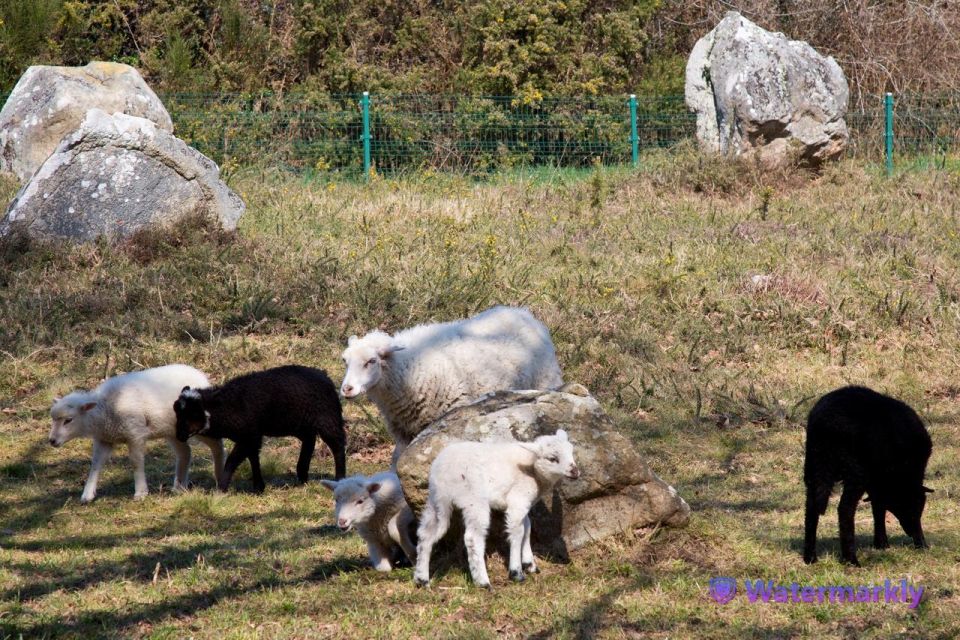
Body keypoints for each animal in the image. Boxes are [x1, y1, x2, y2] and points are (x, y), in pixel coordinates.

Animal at [49, 362, 228, 502]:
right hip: (173, 430)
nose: (51, 441)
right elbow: (95, 464)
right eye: (53, 419)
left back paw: (220, 477)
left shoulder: (135, 434)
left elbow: (136, 461)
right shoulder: (104, 439)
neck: (106, 410)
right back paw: (179, 487)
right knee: (185, 452)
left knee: (217, 446)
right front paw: (87, 494)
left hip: (197, 426)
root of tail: (200, 375)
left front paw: (141, 492)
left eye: (68, 420)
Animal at [174, 364, 346, 490]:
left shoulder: (249, 435)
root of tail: (325, 376)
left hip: (327, 418)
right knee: (309, 440)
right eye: (177, 412)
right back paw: (302, 475)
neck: (227, 406)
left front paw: (221, 488)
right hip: (299, 423)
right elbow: (253, 458)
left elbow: (232, 461)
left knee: (337, 445)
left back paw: (340, 477)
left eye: (194, 413)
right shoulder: (251, 436)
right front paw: (258, 487)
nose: (179, 436)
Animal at [340, 304, 564, 460]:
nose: (347, 389)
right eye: (345, 361)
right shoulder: (403, 433)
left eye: (372, 361)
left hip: (545, 380)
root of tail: (523, 313)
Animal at [410, 430, 576, 592]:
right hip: (473, 499)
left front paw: (529, 564)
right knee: (472, 538)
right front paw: (516, 572)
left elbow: (527, 528)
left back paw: (422, 580)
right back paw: (483, 582)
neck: (532, 468)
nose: (575, 471)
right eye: (552, 458)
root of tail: (442, 471)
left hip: (437, 500)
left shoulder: (524, 504)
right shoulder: (518, 500)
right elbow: (518, 533)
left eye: (571, 451)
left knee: (427, 533)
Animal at [804, 384, 928, 564]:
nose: (912, 533)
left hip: (815, 464)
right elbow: (880, 506)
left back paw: (810, 557)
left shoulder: (878, 483)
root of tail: (826, 422)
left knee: (811, 507)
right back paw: (851, 559)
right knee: (845, 509)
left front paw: (881, 543)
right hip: (855, 471)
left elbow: (878, 507)